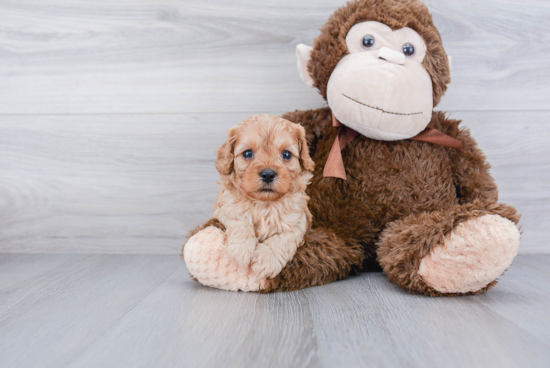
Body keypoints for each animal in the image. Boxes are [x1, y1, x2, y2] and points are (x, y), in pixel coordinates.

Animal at [215, 113, 314, 278]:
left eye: (286, 154)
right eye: (247, 153)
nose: (268, 174)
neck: (265, 204)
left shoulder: (299, 220)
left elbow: (283, 238)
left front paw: (266, 260)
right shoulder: (225, 207)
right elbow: (239, 220)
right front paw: (241, 250)